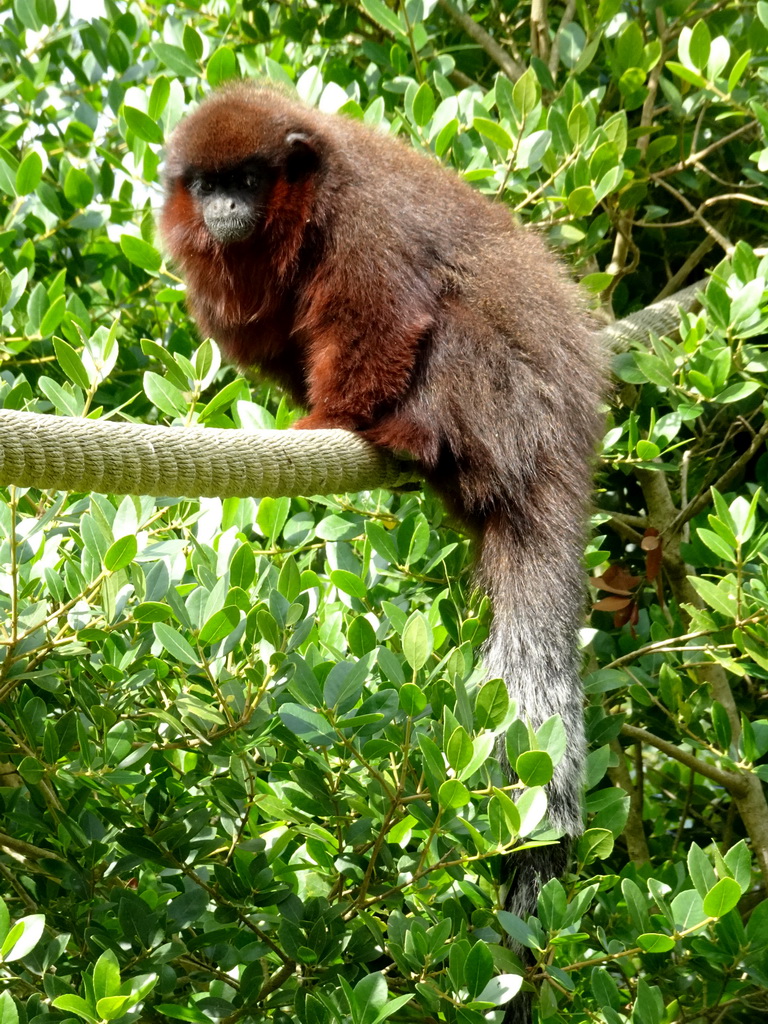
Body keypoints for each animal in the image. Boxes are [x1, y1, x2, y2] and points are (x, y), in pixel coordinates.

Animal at [162, 81, 606, 1024]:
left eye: (248, 179)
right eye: (207, 183)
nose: (222, 210)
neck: (303, 207)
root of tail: (565, 448)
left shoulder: (362, 222)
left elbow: (380, 316)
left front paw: (332, 419)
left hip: (508, 403)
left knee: (452, 319)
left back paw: (413, 434)